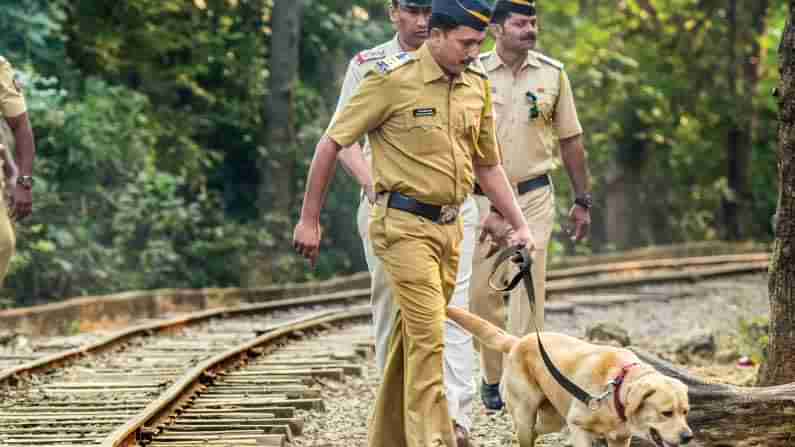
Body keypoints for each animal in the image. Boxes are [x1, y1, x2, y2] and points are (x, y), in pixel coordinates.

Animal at [450, 308, 692, 447]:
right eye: (666, 413)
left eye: (685, 412)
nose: (688, 437)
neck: (616, 389)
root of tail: (518, 341)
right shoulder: (578, 428)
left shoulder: (620, 439)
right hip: (525, 413)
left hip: (552, 419)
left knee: (536, 432)